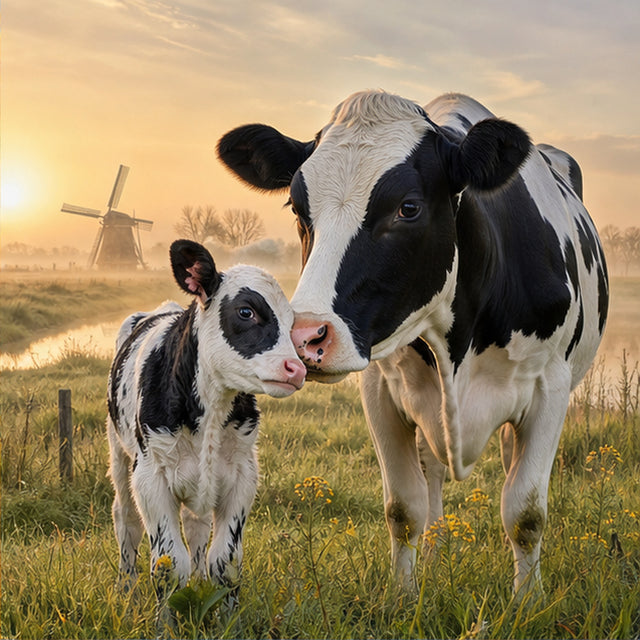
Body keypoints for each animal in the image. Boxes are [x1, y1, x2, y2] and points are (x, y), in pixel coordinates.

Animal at [106, 239, 306, 617]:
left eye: (292, 322)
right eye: (246, 312)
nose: (297, 368)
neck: (210, 413)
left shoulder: (242, 475)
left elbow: (224, 562)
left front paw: (229, 619)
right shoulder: (151, 477)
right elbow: (169, 564)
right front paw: (164, 623)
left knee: (196, 526)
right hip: (119, 455)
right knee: (126, 520)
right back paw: (126, 589)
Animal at [217, 90, 609, 597]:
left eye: (408, 208)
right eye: (297, 209)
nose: (304, 338)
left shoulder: (550, 388)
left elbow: (525, 512)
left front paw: (527, 600)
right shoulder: (381, 390)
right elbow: (404, 507)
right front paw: (403, 597)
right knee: (433, 473)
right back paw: (439, 552)